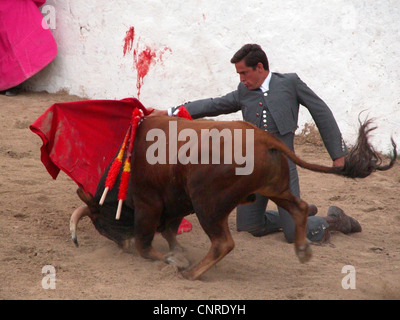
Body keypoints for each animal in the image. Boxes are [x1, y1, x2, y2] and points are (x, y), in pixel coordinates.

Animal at [69, 115, 396, 280]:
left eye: (100, 223)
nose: (119, 246)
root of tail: (265, 137)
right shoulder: (176, 204)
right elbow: (170, 232)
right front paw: (177, 253)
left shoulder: (150, 204)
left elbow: (146, 244)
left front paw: (174, 260)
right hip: (273, 189)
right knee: (300, 208)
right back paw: (303, 250)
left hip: (208, 204)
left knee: (222, 242)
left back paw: (191, 273)